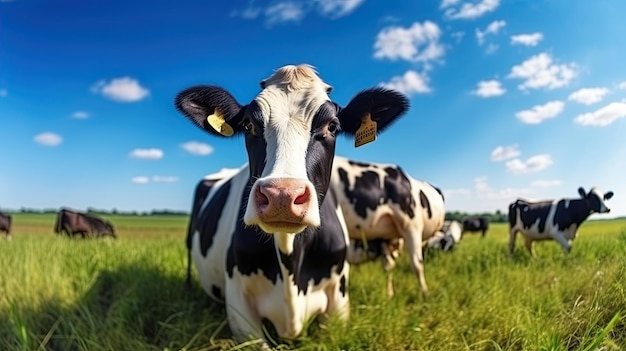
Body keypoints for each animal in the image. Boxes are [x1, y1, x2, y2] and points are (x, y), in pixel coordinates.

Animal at [330, 157, 446, 294]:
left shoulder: (412, 225)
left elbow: (416, 264)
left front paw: (425, 293)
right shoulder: (384, 237)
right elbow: (388, 266)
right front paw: (390, 293)